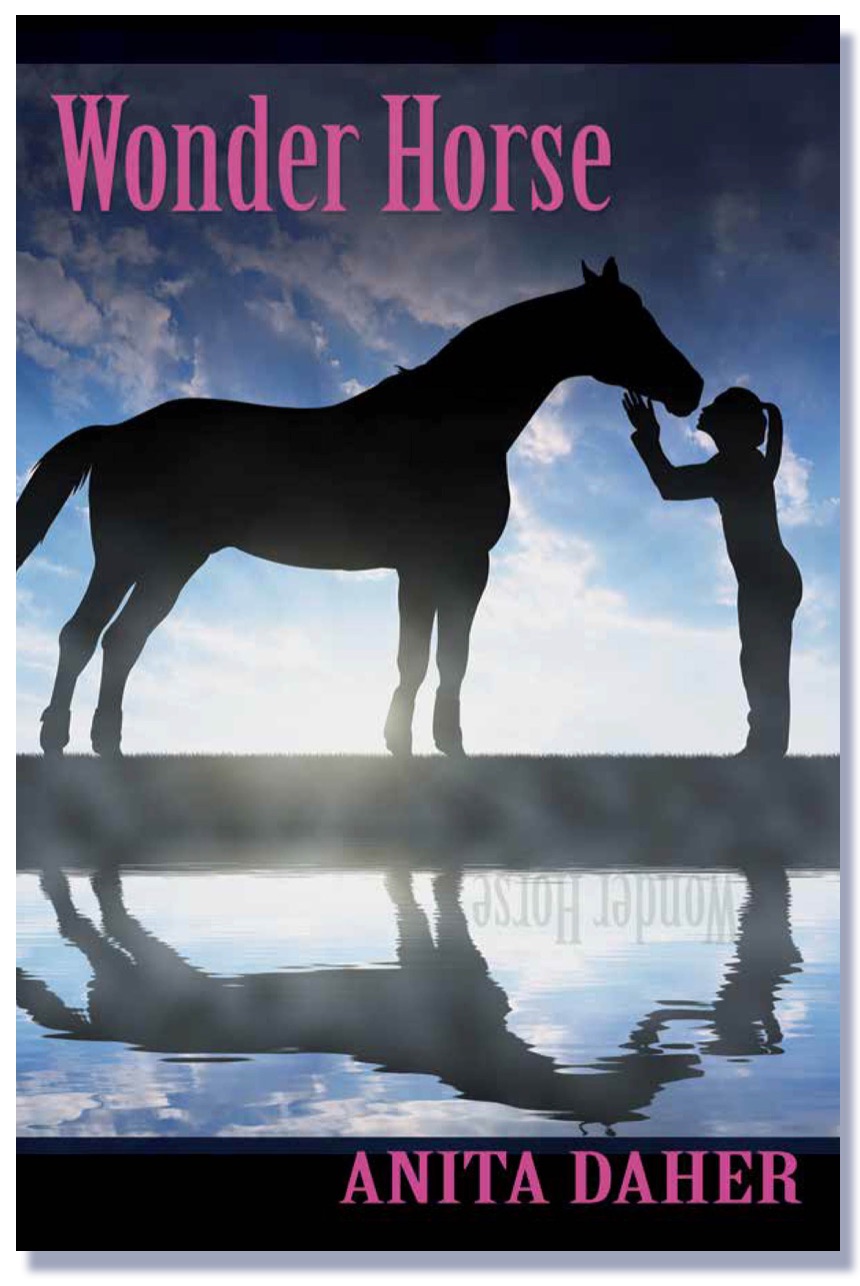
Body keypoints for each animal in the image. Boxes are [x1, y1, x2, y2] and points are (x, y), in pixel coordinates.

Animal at [16, 257, 702, 757]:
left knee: (116, 641)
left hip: (166, 563)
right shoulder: (438, 566)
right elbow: (424, 657)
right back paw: (62, 741)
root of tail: (116, 431)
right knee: (89, 636)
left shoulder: (450, 568)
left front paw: (434, 745)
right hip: (136, 557)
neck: (453, 424)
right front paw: (416, 746)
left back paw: (104, 746)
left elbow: (442, 658)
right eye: (630, 321)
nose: (691, 388)